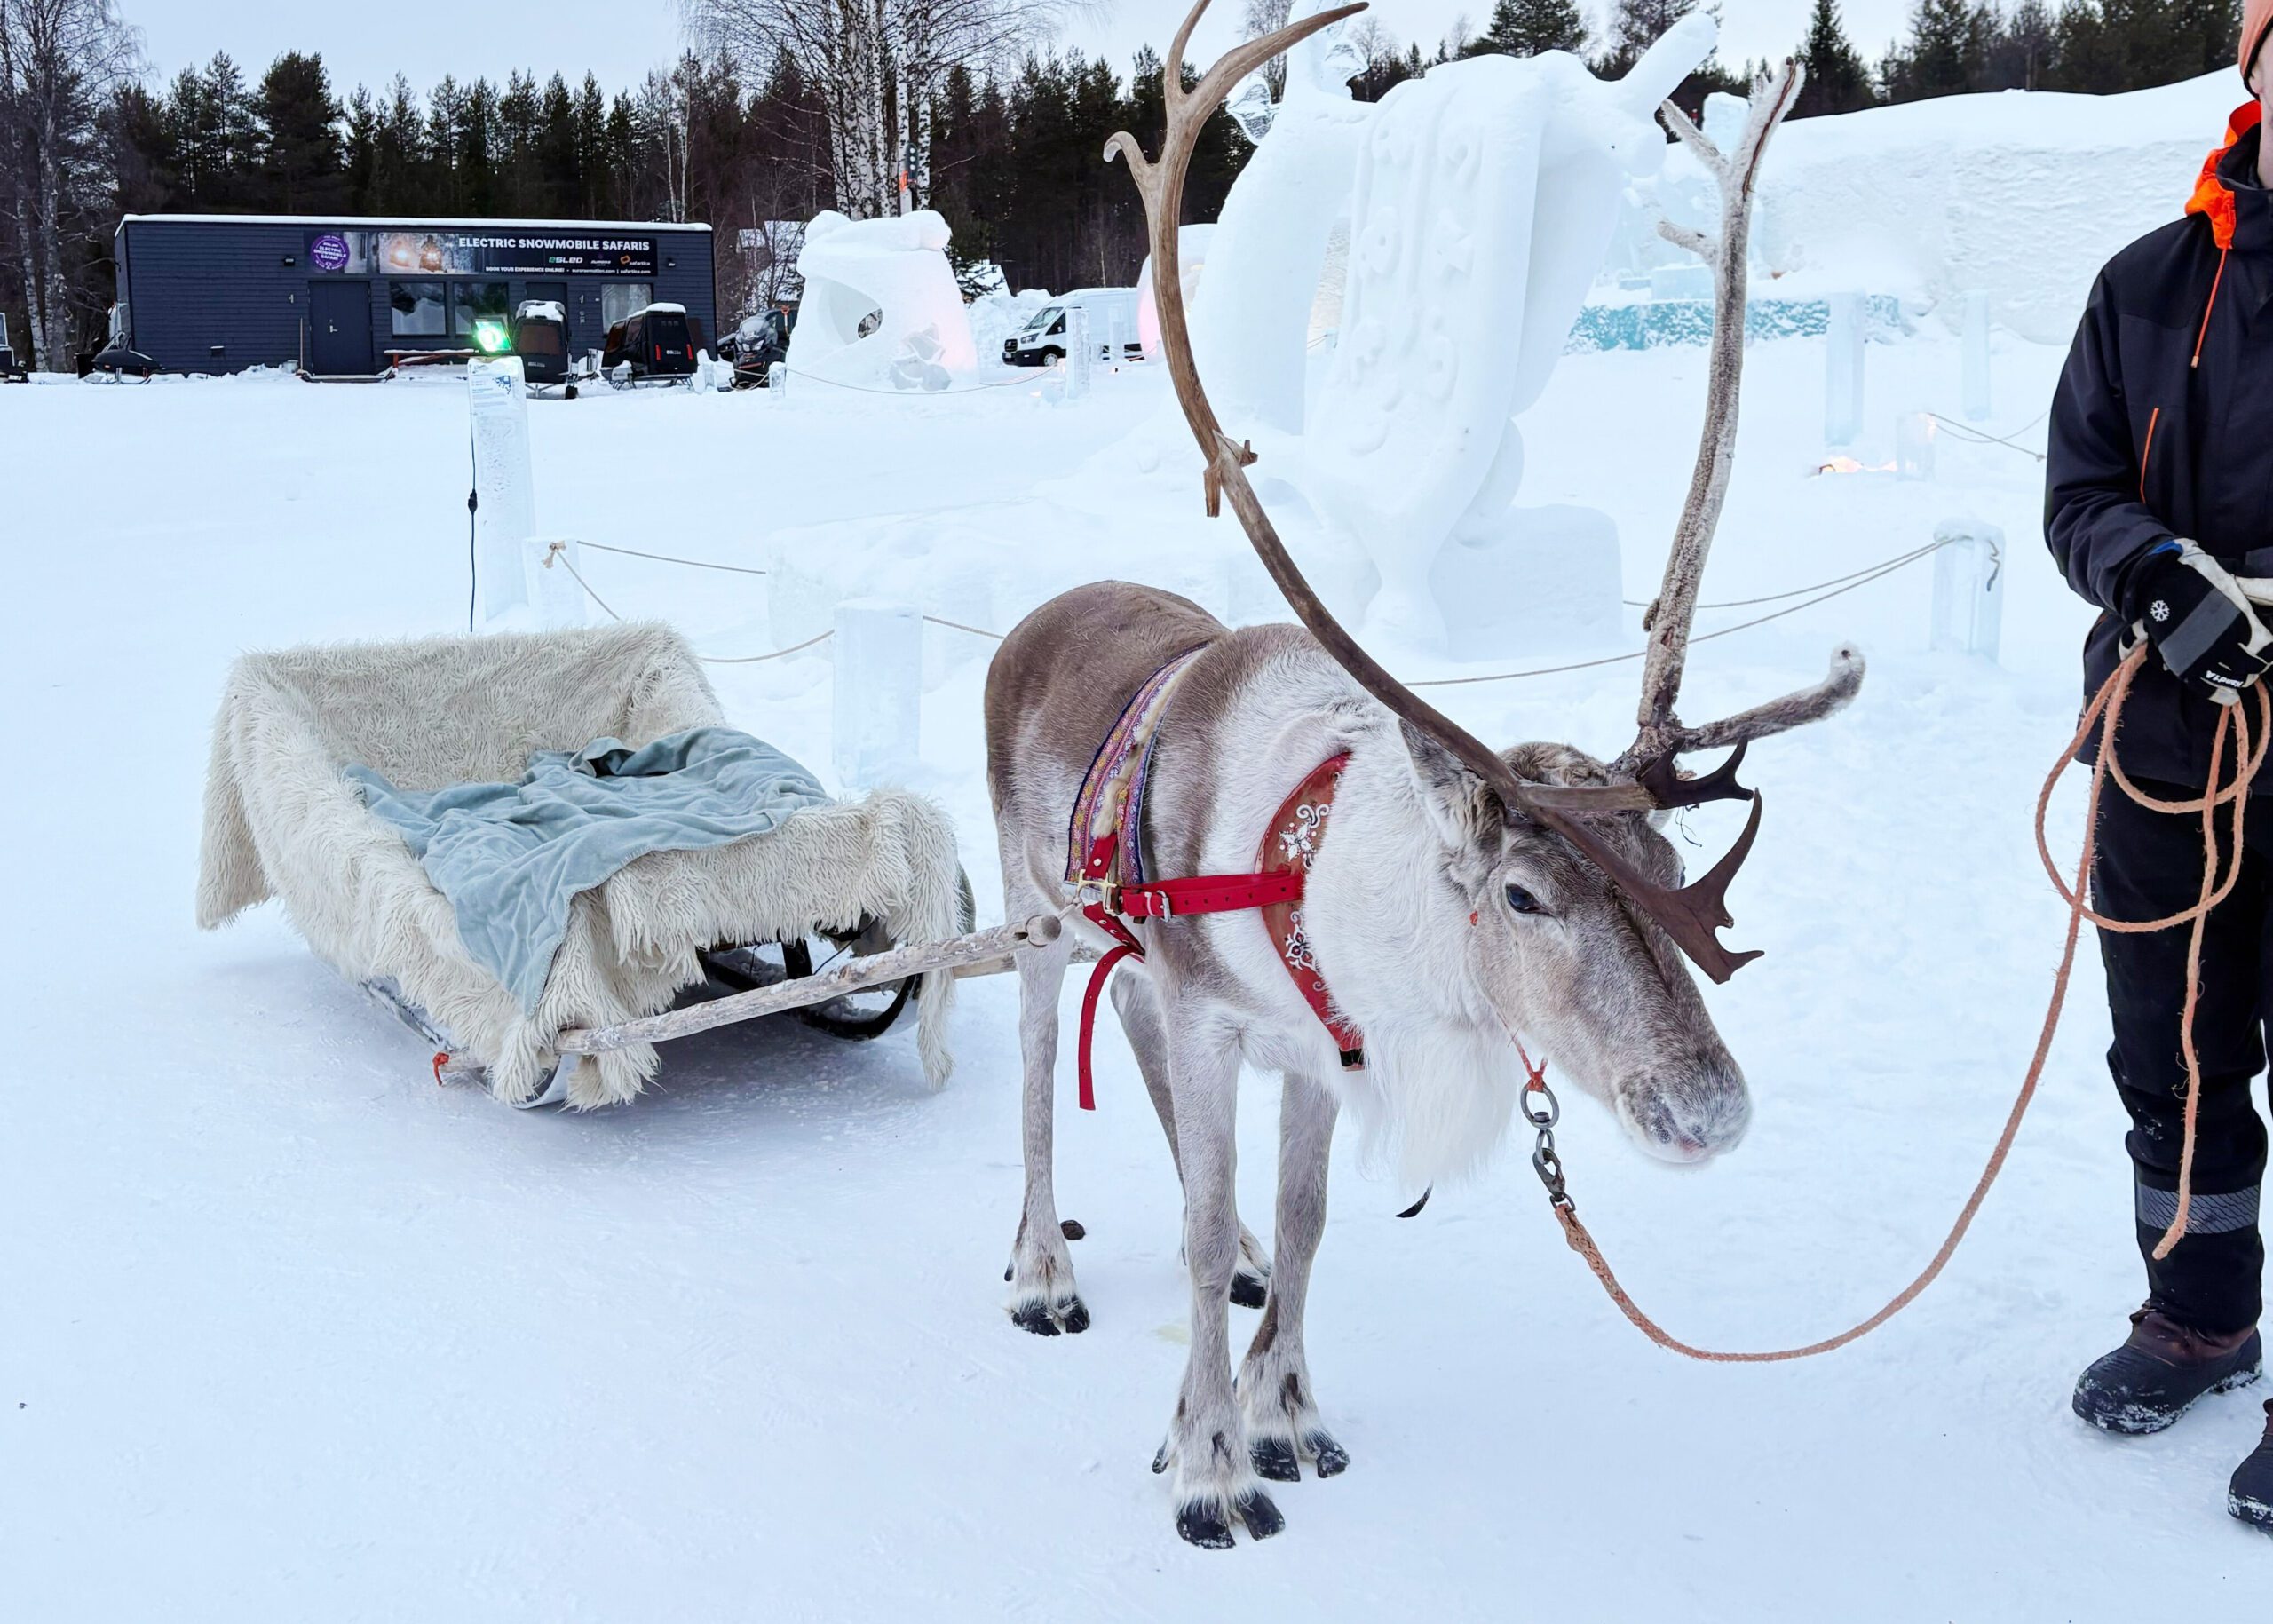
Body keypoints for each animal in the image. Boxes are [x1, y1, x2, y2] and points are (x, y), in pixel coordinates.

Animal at [982, 1, 1857, 1550]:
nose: (1709, 1110)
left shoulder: (1316, 1055)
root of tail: (1042, 612)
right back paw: (1042, 1274)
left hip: (1126, 954)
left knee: (1130, 1041)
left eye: (1675, 868)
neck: (1326, 880)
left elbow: (1307, 1225)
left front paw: (1286, 1411)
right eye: (1521, 893)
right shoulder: (1219, 1015)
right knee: (1034, 1079)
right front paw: (1207, 1465)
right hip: (1034, 916)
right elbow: (1192, 1233)